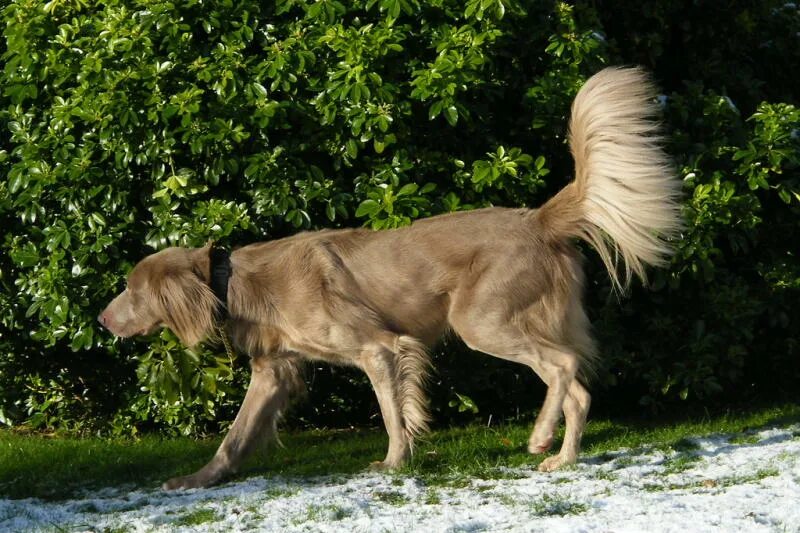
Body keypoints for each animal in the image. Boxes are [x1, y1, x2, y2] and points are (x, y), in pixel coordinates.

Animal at [97, 67, 680, 490]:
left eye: (131, 290)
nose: (101, 320)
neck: (233, 280)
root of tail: (537, 218)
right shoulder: (274, 371)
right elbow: (233, 437)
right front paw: (197, 479)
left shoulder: (380, 348)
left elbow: (392, 411)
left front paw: (395, 461)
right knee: (578, 391)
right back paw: (561, 460)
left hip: (480, 320)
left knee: (562, 368)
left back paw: (539, 438)